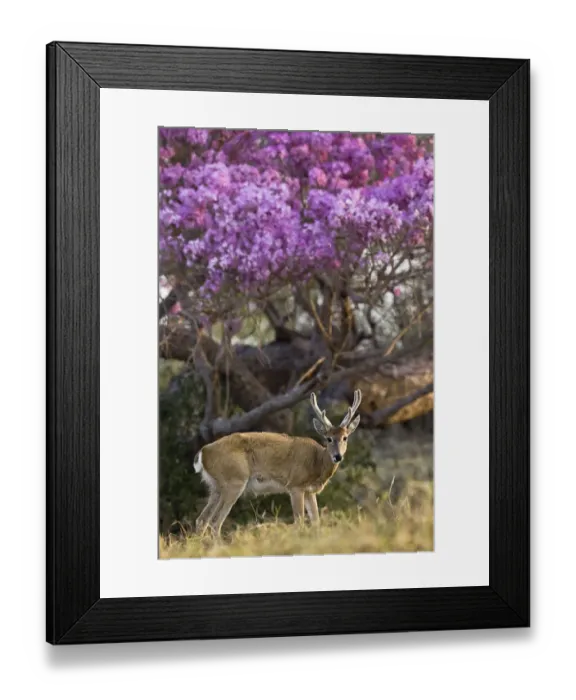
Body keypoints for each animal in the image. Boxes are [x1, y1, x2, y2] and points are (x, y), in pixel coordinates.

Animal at [192, 389, 363, 536]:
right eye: (329, 438)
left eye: (345, 437)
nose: (337, 456)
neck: (317, 462)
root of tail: (204, 451)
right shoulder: (295, 485)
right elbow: (300, 522)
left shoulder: (310, 491)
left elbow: (316, 522)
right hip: (234, 481)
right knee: (215, 523)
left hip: (215, 486)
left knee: (202, 520)